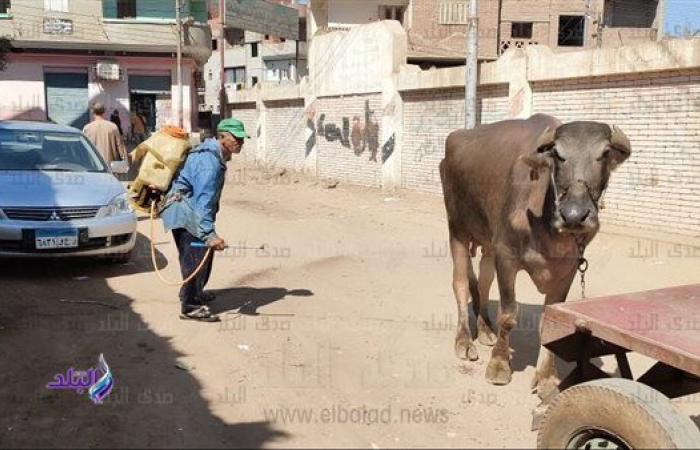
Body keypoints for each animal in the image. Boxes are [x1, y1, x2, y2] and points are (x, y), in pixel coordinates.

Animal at [440, 112, 632, 398]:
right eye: (558, 155)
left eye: (605, 153)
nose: (574, 215)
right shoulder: (506, 257)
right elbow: (508, 315)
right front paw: (499, 365)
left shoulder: (568, 269)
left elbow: (550, 324)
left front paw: (546, 377)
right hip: (458, 230)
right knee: (461, 284)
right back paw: (464, 340)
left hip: (487, 243)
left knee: (483, 284)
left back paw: (485, 330)